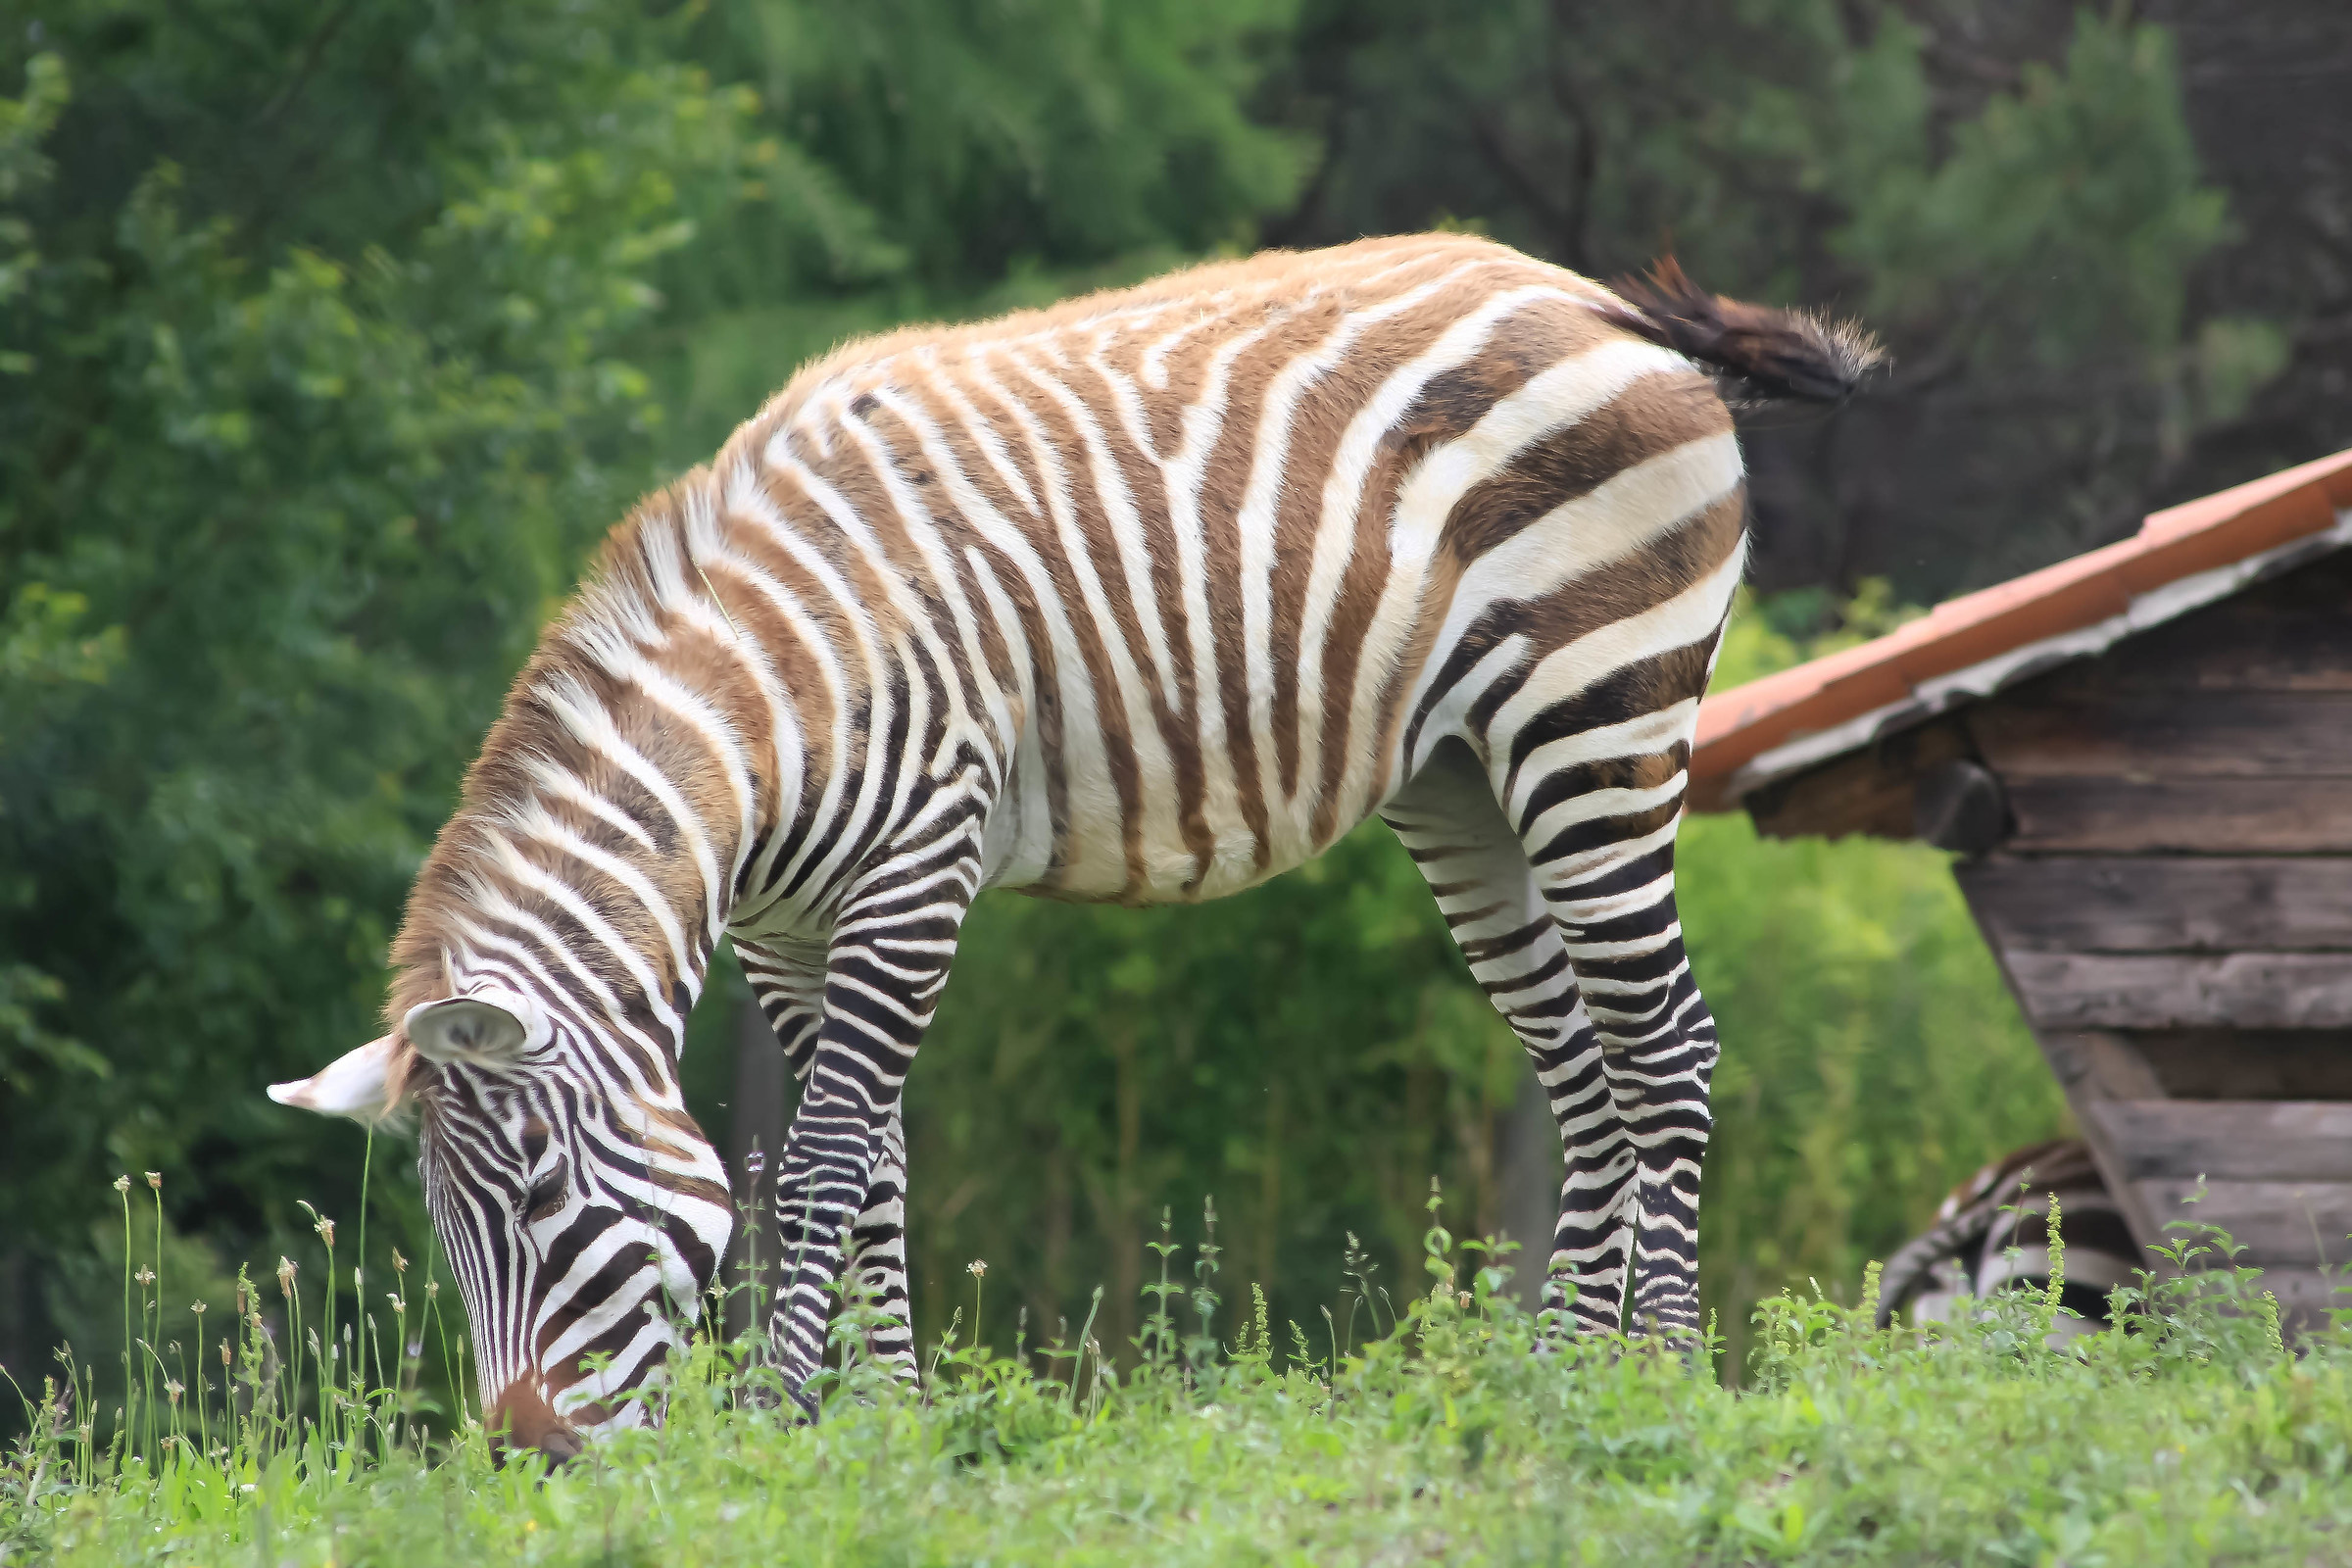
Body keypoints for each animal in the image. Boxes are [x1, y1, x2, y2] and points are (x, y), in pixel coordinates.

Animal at [266, 232, 1878, 1459]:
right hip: (1464, 782)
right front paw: (891, 1427)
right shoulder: (789, 930)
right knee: (1582, 1065)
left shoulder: (915, 868)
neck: (776, 701)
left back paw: (1654, 1381)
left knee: (1664, 1044)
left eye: (541, 1207)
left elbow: (825, 1159)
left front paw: (791, 1420)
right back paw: (1558, 1386)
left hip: (1599, 714)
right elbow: (879, 1161)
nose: (526, 1463)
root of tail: (1593, 299)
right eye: (442, 1236)